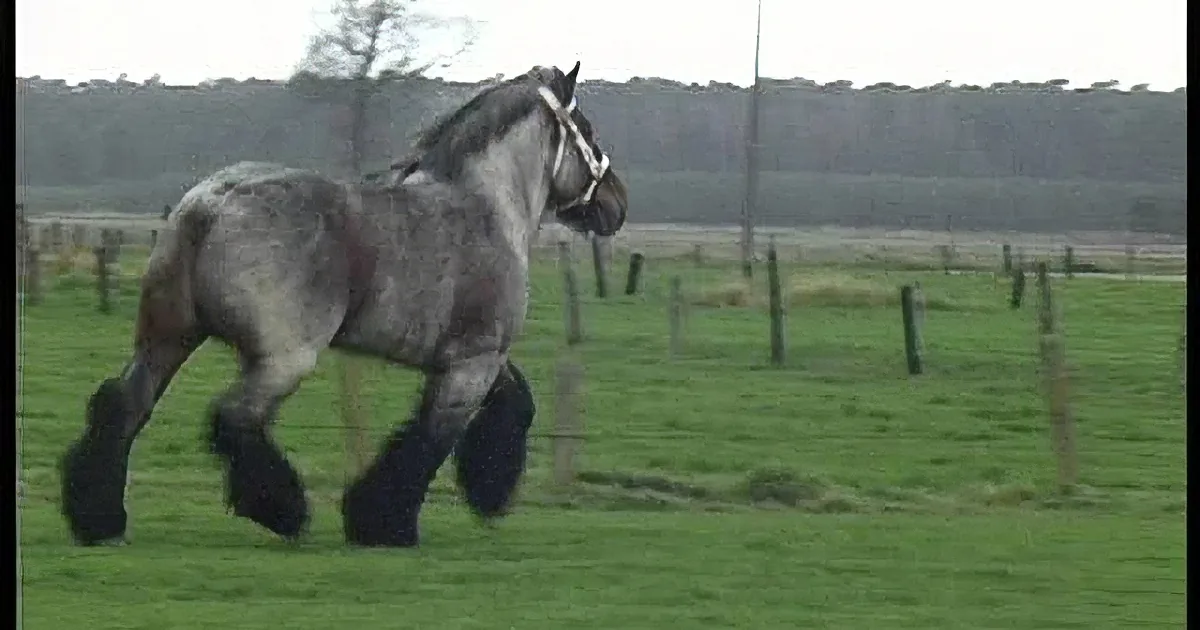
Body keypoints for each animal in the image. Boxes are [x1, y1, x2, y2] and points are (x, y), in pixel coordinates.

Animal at [59, 62, 628, 548]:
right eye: (587, 129)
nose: (617, 204)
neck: (485, 207)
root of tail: (212, 203)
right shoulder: (473, 363)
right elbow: (428, 441)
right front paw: (386, 523)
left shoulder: (473, 359)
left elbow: (516, 403)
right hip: (283, 359)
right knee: (234, 419)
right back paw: (284, 512)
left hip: (167, 339)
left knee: (123, 405)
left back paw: (99, 520)